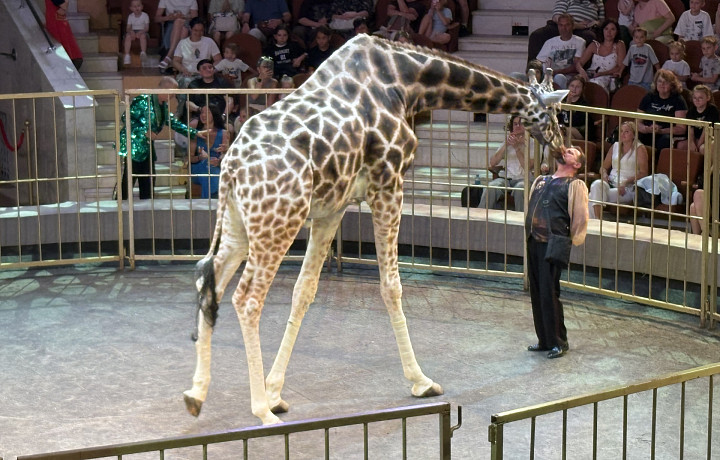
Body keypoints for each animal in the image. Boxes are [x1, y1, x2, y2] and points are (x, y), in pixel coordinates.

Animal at [183, 34, 568, 425]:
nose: (563, 149)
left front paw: (276, 391)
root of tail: (231, 168)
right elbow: (391, 287)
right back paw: (260, 411)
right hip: (277, 222)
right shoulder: (389, 183)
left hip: (239, 224)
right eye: (557, 113)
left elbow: (304, 290)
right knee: (247, 299)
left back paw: (196, 394)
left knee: (208, 280)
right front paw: (422, 381)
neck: (408, 83)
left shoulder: (333, 207)